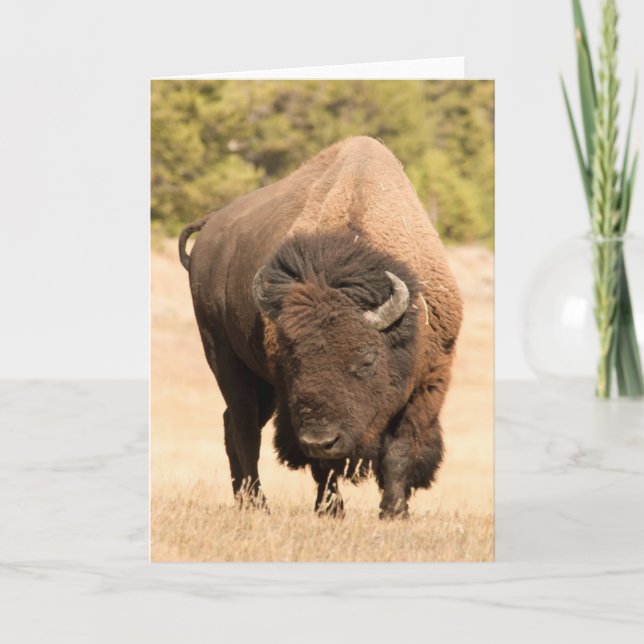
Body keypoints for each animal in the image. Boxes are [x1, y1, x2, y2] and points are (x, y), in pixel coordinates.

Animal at [179, 136, 462, 518]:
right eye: (292, 361)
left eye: (366, 360)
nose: (320, 439)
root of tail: (209, 228)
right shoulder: (292, 401)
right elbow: (323, 467)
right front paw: (331, 510)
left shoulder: (429, 382)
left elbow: (401, 450)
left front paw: (394, 512)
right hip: (225, 360)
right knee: (244, 430)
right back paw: (257, 504)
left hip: (260, 386)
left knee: (232, 426)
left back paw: (244, 500)